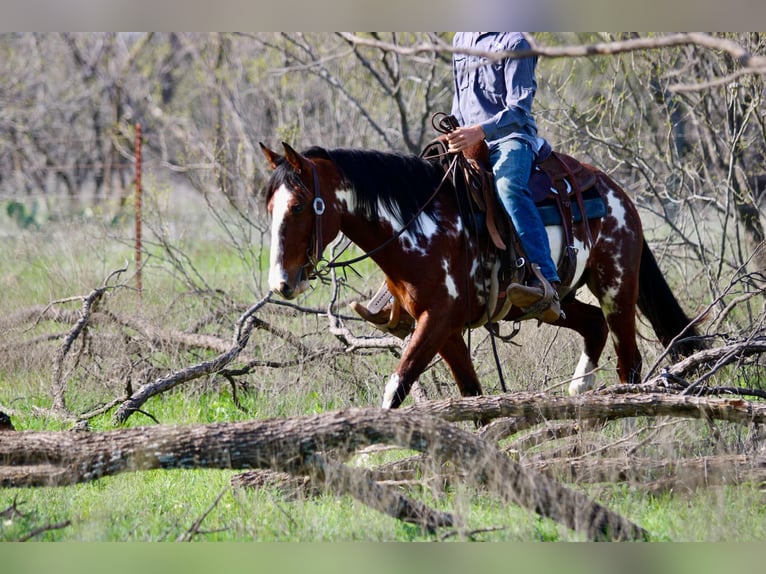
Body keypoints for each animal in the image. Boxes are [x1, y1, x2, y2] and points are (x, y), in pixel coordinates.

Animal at [259, 140, 702, 410]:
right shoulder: (444, 328)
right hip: (559, 302)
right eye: (270, 207)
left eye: (298, 206)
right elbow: (470, 392)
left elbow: (396, 387)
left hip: (616, 288)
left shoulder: (437, 321)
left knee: (629, 361)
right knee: (593, 326)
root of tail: (616, 192)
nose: (282, 282)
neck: (421, 226)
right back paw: (580, 390)